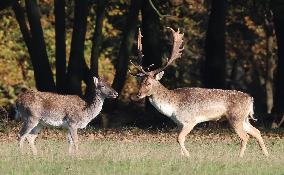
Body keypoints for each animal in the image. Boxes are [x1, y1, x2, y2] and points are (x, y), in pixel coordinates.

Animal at [130, 27, 268, 157]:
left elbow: (179, 138)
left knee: (245, 136)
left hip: (236, 117)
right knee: (256, 131)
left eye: (148, 83)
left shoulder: (190, 120)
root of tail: (250, 99)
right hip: (244, 118)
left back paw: (240, 157)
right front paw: (182, 156)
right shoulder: (178, 124)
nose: (138, 94)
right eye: (140, 82)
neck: (172, 107)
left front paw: (188, 156)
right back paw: (267, 155)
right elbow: (178, 139)